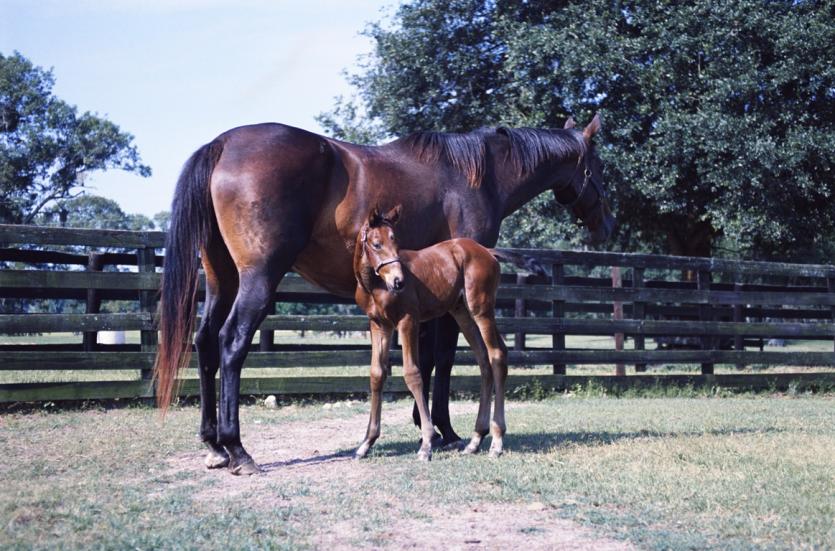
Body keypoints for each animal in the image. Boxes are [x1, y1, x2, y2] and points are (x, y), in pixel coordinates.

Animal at [352, 206, 510, 462]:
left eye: (396, 241)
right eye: (376, 244)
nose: (399, 282)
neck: (375, 285)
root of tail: (487, 251)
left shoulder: (408, 321)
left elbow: (413, 374)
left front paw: (427, 443)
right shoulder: (379, 325)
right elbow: (377, 374)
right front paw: (366, 443)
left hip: (481, 309)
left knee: (496, 355)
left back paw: (496, 442)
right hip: (461, 313)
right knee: (484, 359)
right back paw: (475, 440)